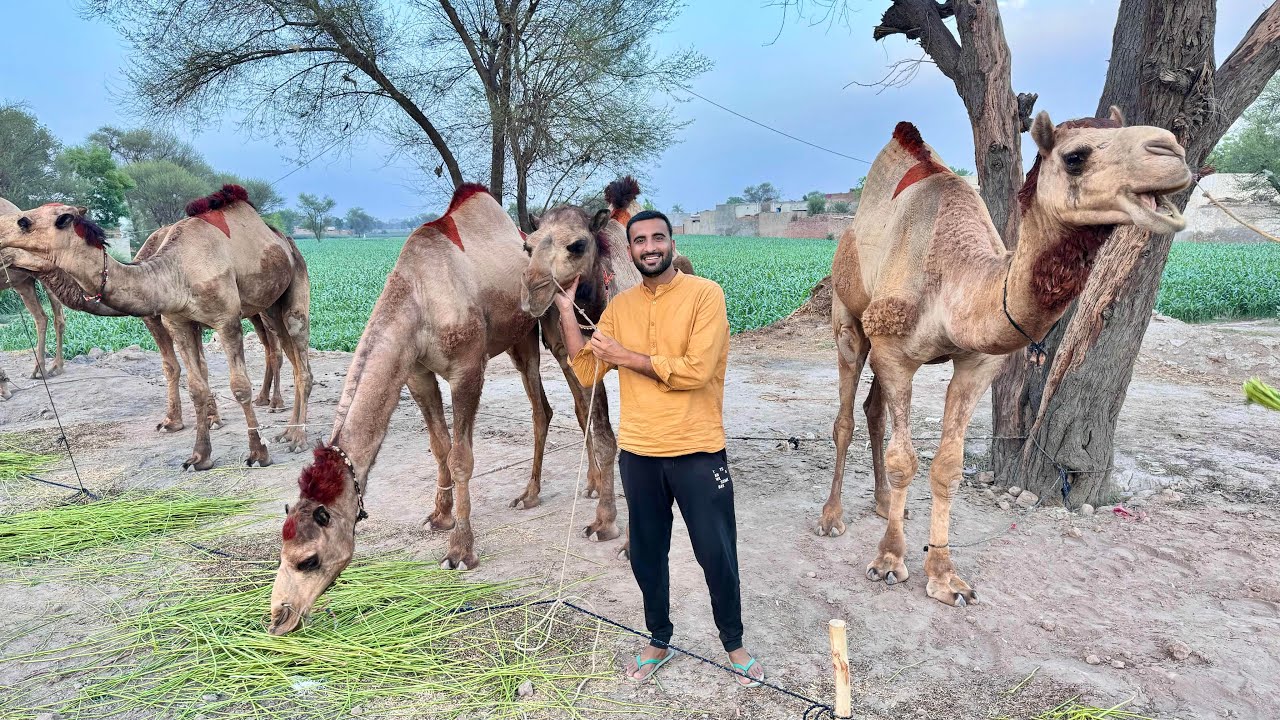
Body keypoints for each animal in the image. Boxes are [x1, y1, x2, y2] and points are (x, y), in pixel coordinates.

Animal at [0, 185, 313, 470]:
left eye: (23, 222)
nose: (3, 249)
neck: (176, 271)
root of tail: (284, 239)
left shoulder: (226, 321)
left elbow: (239, 387)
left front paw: (258, 452)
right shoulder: (178, 322)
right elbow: (195, 386)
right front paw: (200, 456)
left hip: (295, 282)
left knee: (299, 354)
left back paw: (297, 436)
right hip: (270, 306)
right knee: (291, 355)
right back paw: (288, 431)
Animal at [269, 183, 553, 635]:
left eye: (308, 560)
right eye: (279, 551)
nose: (279, 618)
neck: (418, 299)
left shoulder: (467, 370)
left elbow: (461, 457)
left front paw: (460, 552)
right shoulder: (416, 371)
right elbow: (439, 446)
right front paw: (439, 516)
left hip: (525, 333)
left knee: (541, 408)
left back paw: (530, 495)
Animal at [518, 177, 693, 556]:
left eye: (577, 244)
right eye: (528, 246)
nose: (531, 293)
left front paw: (632, 540)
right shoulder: (584, 365)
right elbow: (601, 434)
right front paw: (604, 522)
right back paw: (592, 483)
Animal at [819, 108, 1191, 606]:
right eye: (1075, 157)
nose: (1170, 152)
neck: (952, 277)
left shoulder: (976, 363)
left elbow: (948, 467)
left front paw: (945, 577)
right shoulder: (896, 352)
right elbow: (904, 460)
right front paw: (889, 561)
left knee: (874, 411)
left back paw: (882, 504)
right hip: (850, 316)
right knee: (846, 416)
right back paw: (831, 517)